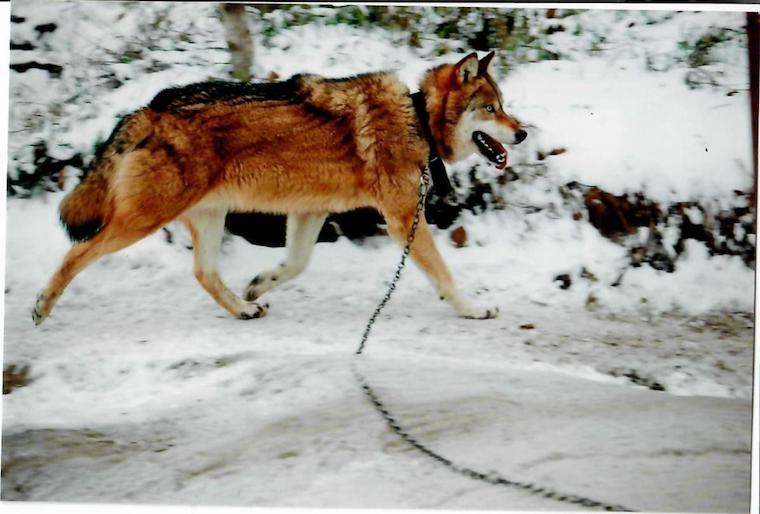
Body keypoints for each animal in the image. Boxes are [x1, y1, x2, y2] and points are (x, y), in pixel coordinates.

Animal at [32, 51, 527, 325]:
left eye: (505, 106)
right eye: (491, 109)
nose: (522, 133)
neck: (417, 118)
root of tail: (149, 108)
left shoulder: (310, 212)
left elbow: (296, 264)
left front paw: (257, 287)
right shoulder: (404, 218)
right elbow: (444, 276)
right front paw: (473, 309)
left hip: (208, 217)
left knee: (203, 273)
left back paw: (244, 310)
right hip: (143, 220)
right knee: (76, 253)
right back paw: (41, 306)